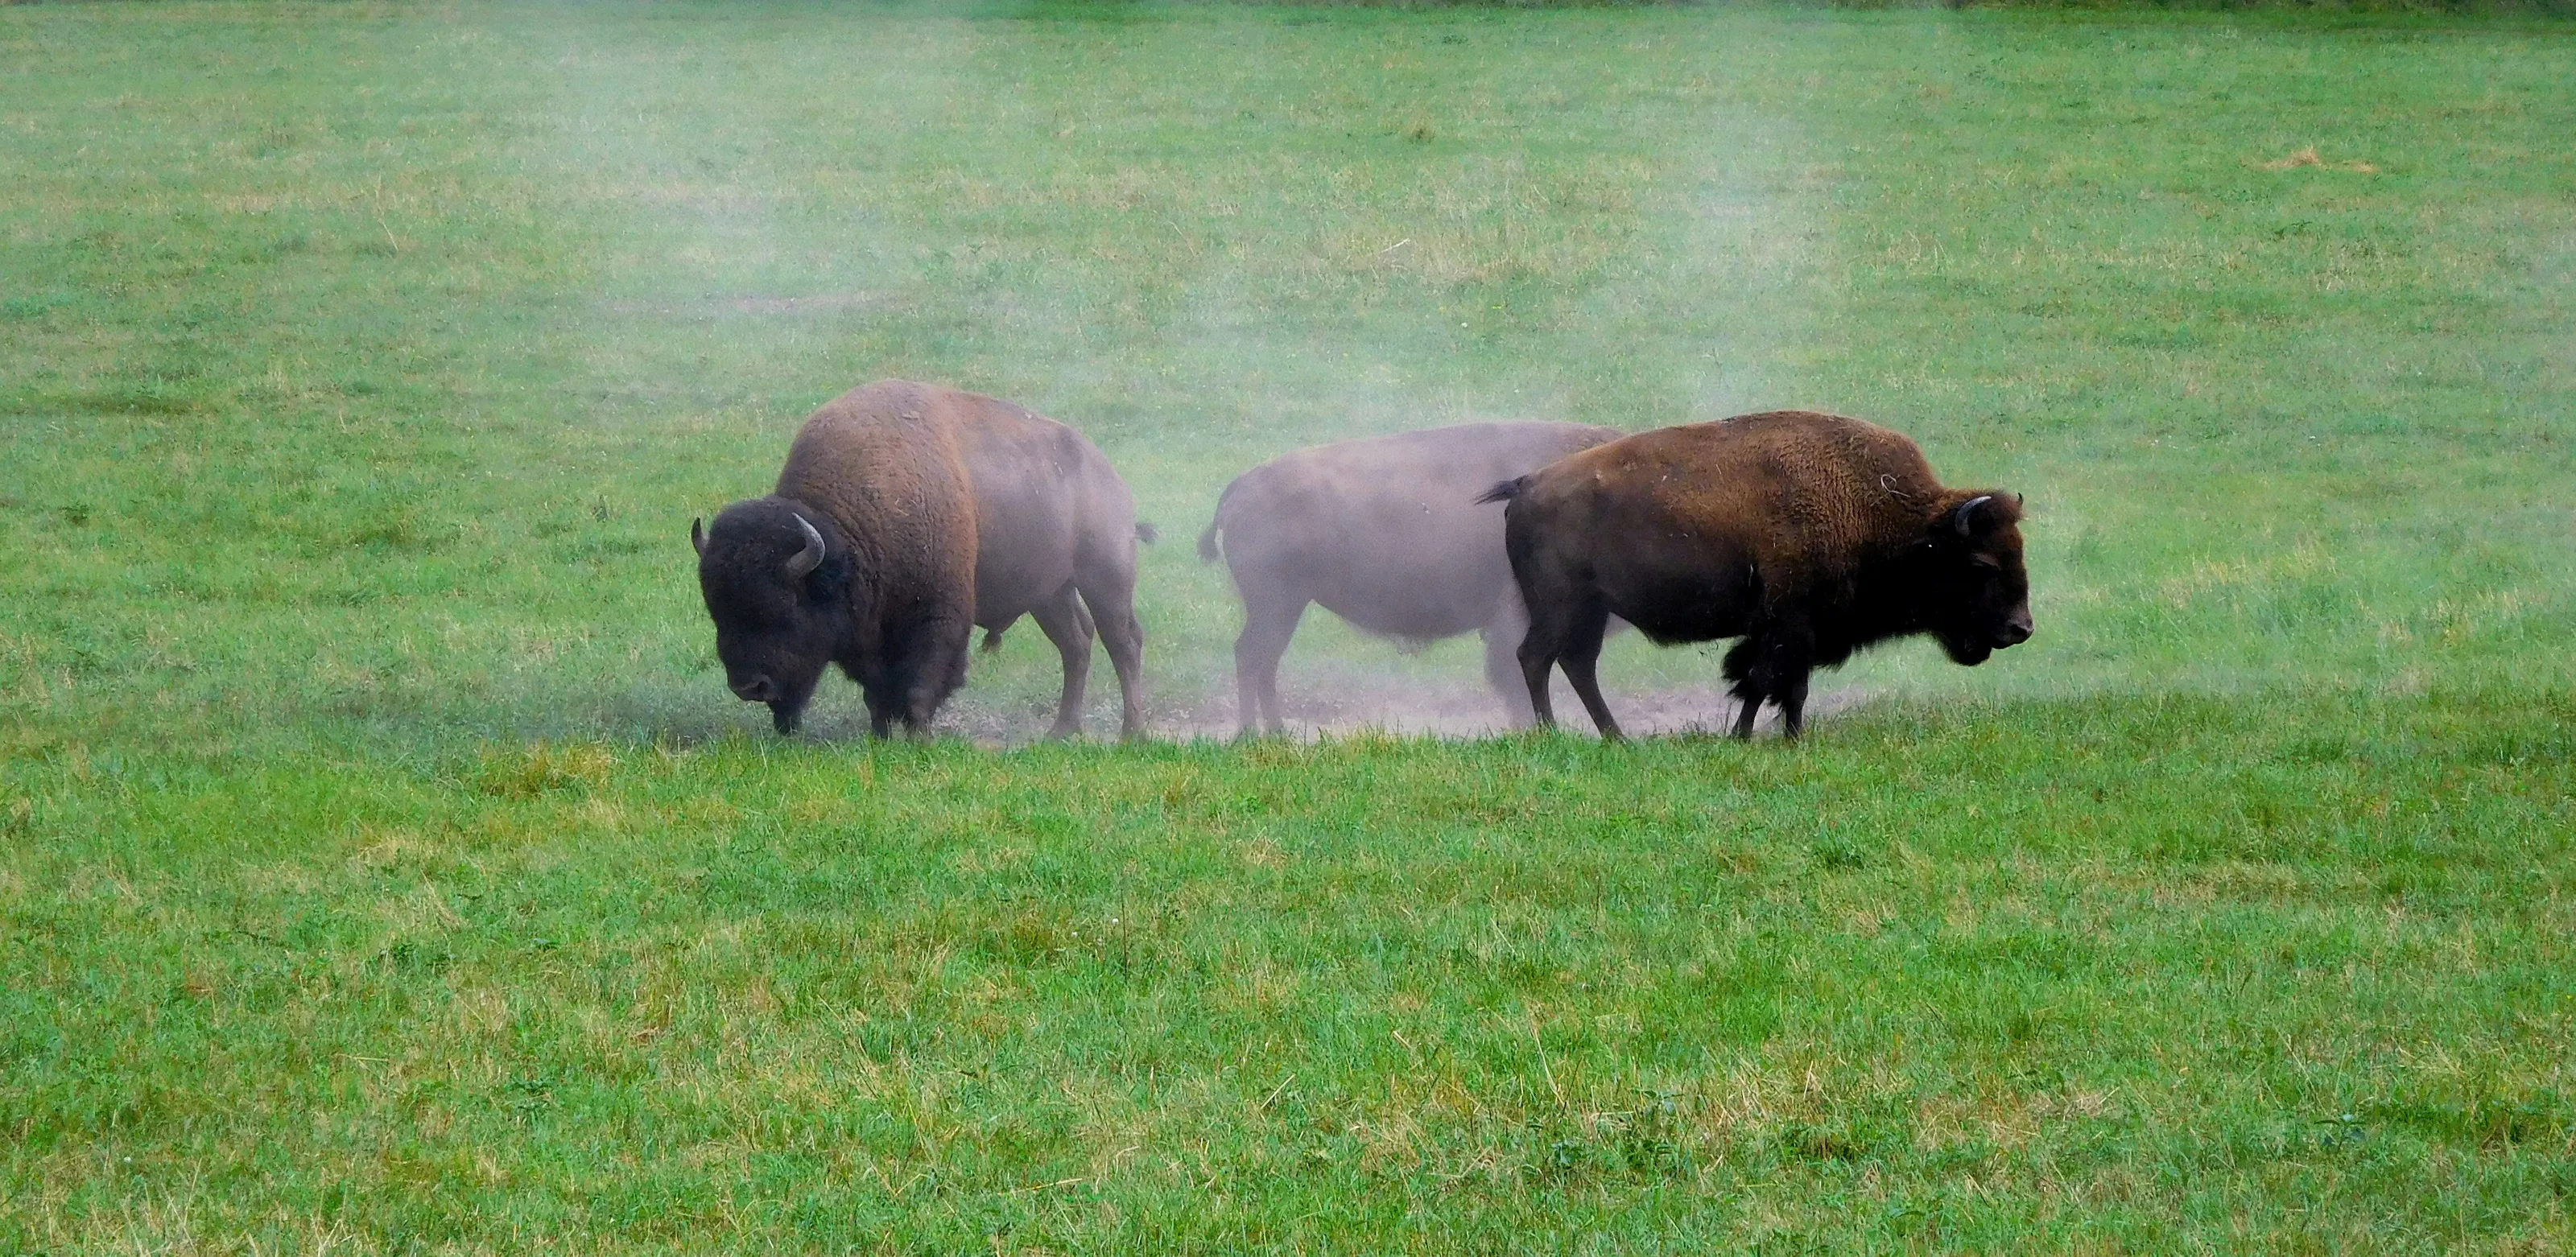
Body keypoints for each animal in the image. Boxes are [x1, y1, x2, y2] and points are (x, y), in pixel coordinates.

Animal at [692, 380, 1149, 739]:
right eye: (717, 612)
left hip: (1105, 580)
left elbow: (920, 683)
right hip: (1050, 594)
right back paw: (1060, 732)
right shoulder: (872, 635)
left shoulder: (937, 616)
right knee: (1076, 644)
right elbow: (876, 690)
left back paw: (1132, 735)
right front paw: (880, 733)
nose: (749, 686)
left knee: (1123, 643)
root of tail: (1110, 477)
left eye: (782, 612)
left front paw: (919, 735)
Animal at [1198, 421, 1621, 734]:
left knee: (1260, 660)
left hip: (1282, 608)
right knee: (1252, 656)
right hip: (1277, 606)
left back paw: (1272, 734)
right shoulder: (1514, 617)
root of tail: (1239, 487)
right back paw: (1257, 733)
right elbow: (1514, 676)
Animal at [1482, 410, 2031, 740]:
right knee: (1536, 658)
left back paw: (1616, 738)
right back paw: (1552, 733)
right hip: (1559, 606)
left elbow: (1782, 685)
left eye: (2020, 551)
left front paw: (1786, 737)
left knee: (1577, 664)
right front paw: (1750, 737)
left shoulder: (1795, 629)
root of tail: (1528, 485)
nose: (2021, 628)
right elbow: (1768, 680)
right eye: (1981, 564)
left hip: (1590, 611)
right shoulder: (1789, 623)